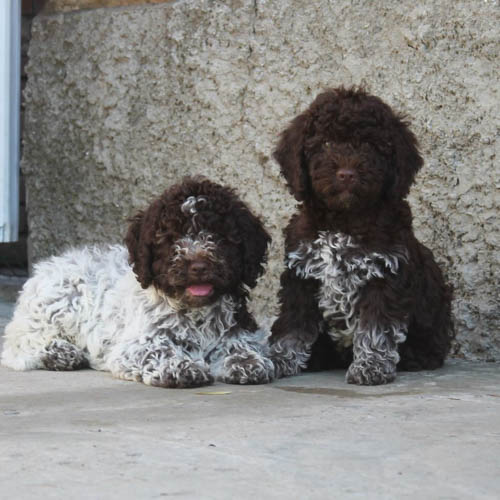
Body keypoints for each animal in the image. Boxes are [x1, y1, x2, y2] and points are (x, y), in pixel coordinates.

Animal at [0, 178, 274, 388]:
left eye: (218, 236)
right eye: (171, 237)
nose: (198, 267)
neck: (196, 310)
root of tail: (48, 266)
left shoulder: (238, 328)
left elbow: (239, 345)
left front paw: (246, 362)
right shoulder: (135, 343)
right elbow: (158, 349)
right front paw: (179, 367)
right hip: (60, 302)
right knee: (18, 342)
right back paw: (58, 352)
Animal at [270, 87, 454, 386]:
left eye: (369, 146)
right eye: (327, 143)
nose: (347, 174)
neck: (344, 221)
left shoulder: (385, 274)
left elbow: (376, 327)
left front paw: (371, 366)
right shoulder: (301, 275)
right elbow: (292, 325)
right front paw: (279, 359)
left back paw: (416, 357)